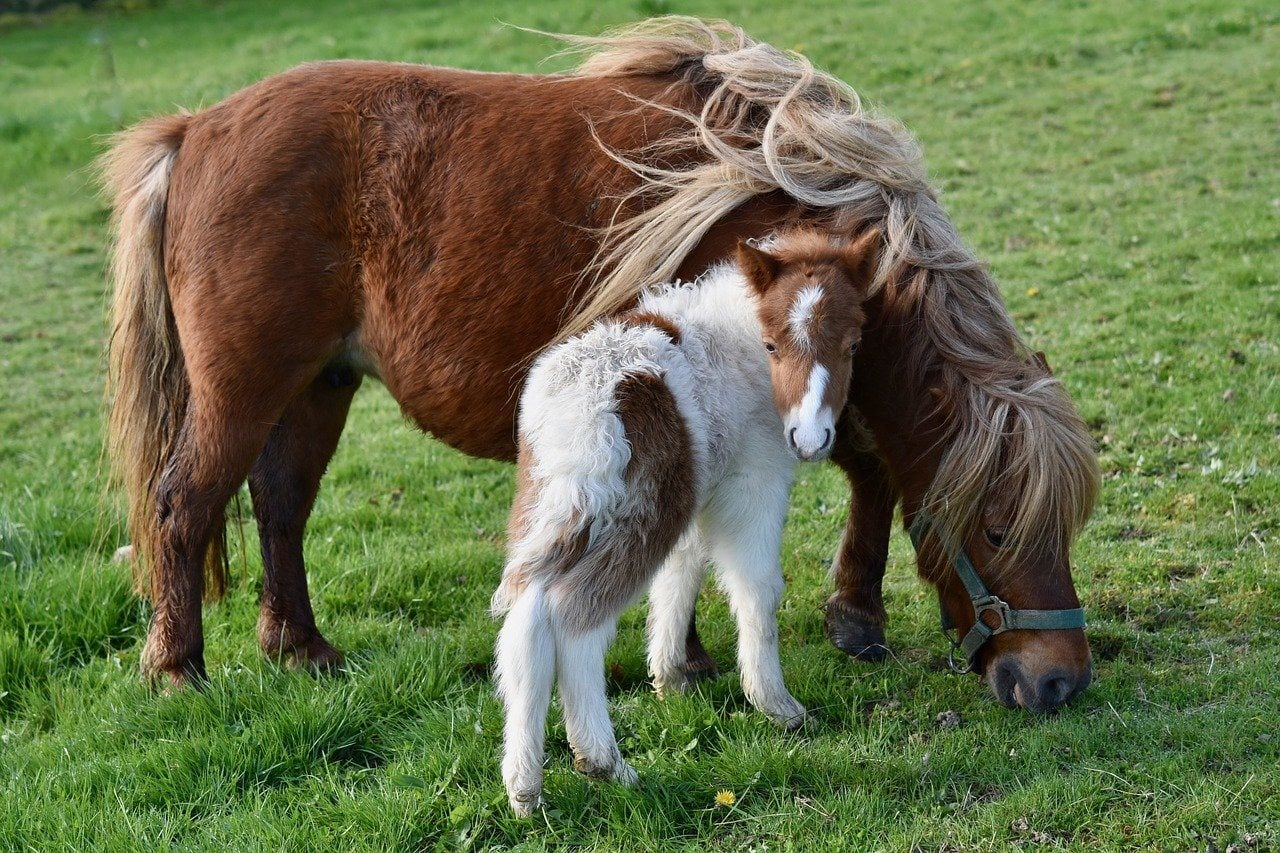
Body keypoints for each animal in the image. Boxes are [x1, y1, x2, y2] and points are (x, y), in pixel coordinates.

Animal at [100, 17, 1100, 711]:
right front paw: (697, 659)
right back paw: (180, 669)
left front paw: (854, 612)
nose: (1060, 681)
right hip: (243, 388)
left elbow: (871, 467)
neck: (778, 197)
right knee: (184, 505)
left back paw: (300, 648)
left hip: (317, 386)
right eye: (999, 530)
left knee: (280, 507)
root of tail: (195, 130)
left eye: (1069, 527)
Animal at [492, 231, 876, 815]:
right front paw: (778, 706)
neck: (736, 350)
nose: (810, 440)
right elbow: (757, 588)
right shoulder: (753, 481)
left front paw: (670, 678)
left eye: (852, 345)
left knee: (527, 618)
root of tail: (584, 408)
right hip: (639, 514)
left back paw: (524, 788)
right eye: (771, 345)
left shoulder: (699, 494)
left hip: (553, 508)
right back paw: (605, 763)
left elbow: (682, 573)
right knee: (573, 618)